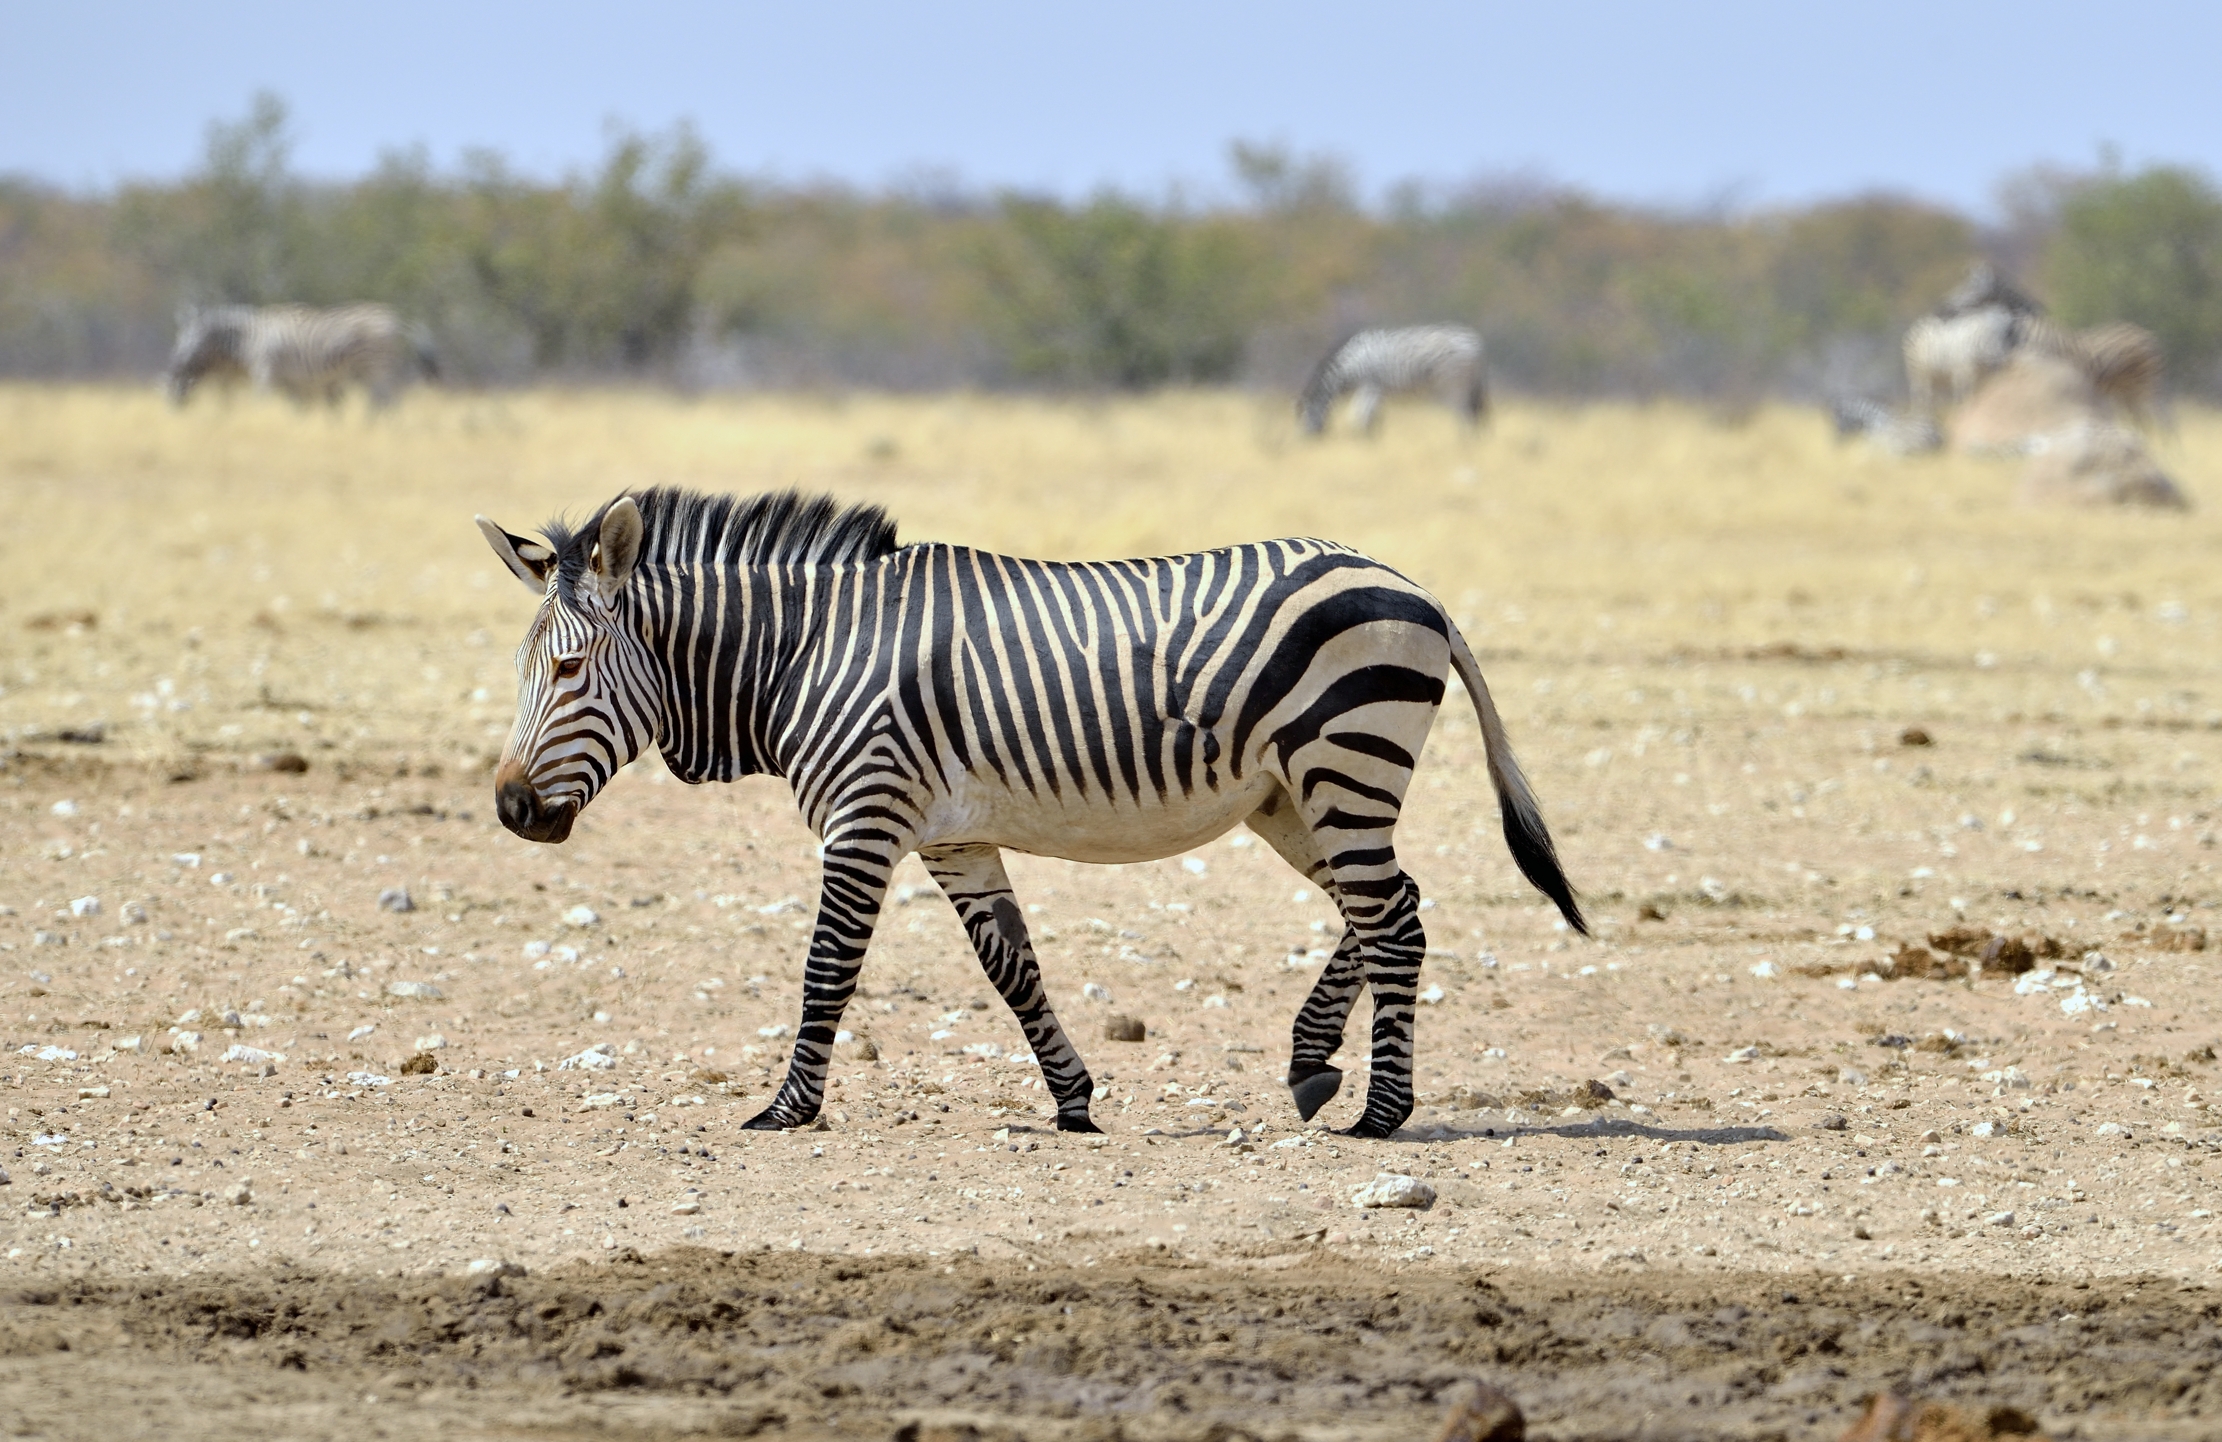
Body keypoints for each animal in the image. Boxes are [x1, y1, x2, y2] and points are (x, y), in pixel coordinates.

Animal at [165, 302, 439, 407]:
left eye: (185, 339)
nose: (174, 364)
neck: (253, 338)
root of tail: (396, 319)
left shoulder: (266, 375)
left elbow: (262, 404)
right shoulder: (292, 383)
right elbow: (296, 412)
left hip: (376, 366)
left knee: (385, 402)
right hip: (386, 368)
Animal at [477, 488, 1585, 1140]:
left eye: (568, 670)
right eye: (524, 669)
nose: (511, 806)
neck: (800, 654)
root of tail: (1416, 589)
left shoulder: (864, 813)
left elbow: (828, 965)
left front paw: (785, 1109)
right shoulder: (953, 834)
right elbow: (1010, 968)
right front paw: (1073, 1099)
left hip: (1341, 764)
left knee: (1391, 918)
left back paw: (1381, 1113)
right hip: (1290, 795)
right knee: (1390, 904)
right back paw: (1313, 1062)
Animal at [1299, 325, 1488, 435]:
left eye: (1302, 420)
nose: (1307, 442)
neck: (1349, 363)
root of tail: (1474, 342)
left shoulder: (1369, 385)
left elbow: (1361, 415)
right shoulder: (1376, 388)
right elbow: (1373, 416)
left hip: (1454, 383)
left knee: (1464, 412)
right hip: (1472, 383)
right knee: (1476, 413)